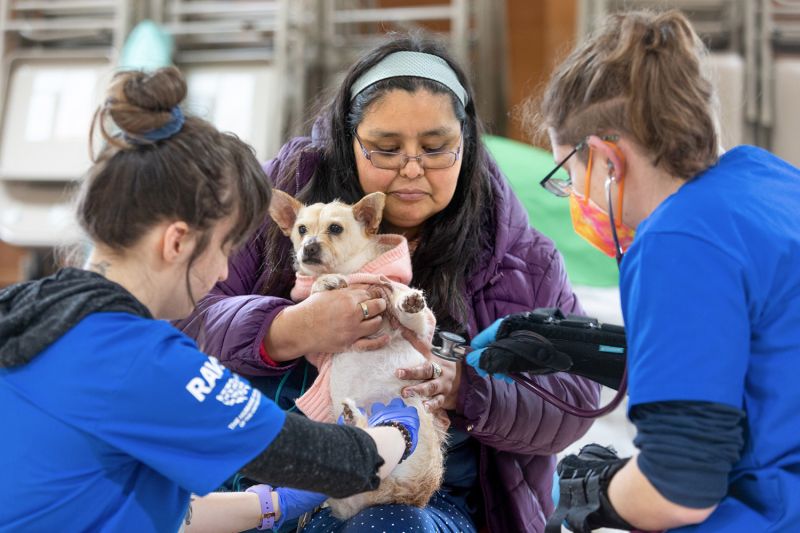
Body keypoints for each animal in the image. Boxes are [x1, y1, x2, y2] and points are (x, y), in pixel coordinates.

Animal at [268, 189, 444, 516]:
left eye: (335, 229)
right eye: (301, 230)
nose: (309, 247)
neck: (352, 273)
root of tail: (393, 494)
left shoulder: (420, 334)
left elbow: (412, 316)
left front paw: (408, 302)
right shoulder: (318, 343)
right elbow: (314, 294)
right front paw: (324, 283)